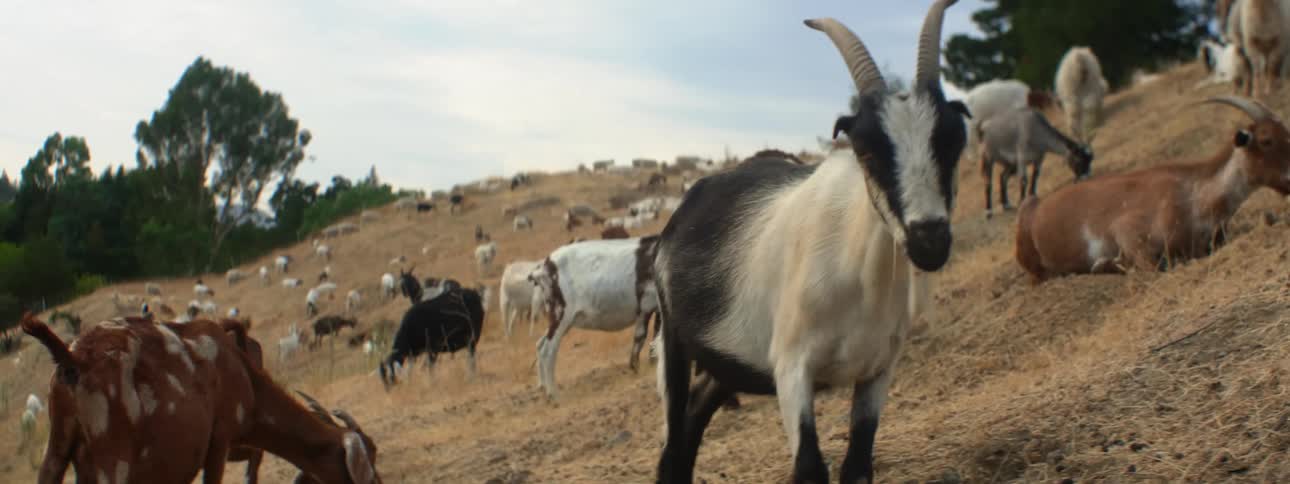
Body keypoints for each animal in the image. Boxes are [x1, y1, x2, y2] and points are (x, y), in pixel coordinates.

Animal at [527, 236, 661, 399]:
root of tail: (544, 267)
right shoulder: (648, 305)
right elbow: (644, 337)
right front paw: (637, 368)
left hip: (561, 320)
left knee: (540, 344)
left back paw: (542, 387)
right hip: (561, 315)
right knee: (547, 350)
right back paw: (553, 394)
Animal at [651, 2, 969, 482]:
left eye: (954, 142)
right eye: (866, 151)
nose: (929, 239)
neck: (859, 276)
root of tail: (689, 202)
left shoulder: (877, 370)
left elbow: (857, 467)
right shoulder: (791, 369)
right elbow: (809, 468)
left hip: (729, 361)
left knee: (693, 418)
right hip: (674, 341)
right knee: (673, 440)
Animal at [1016, 96, 1290, 282]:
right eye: (1266, 140)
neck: (1194, 197)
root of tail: (1031, 209)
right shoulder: (1127, 230)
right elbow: (1153, 265)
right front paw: (1110, 263)